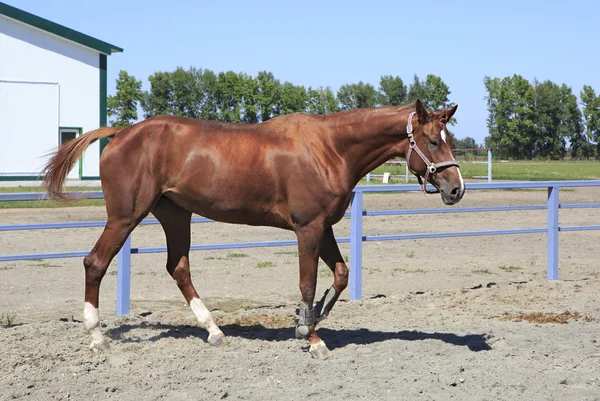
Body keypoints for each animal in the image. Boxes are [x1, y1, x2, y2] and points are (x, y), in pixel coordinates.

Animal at [42, 98, 464, 358]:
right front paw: (311, 337)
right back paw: (97, 337)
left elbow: (341, 276)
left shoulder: (324, 226)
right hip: (125, 217)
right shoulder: (307, 228)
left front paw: (310, 320)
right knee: (95, 263)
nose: (456, 188)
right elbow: (307, 283)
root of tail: (120, 133)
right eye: (431, 140)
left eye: (450, 139)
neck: (329, 148)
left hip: (175, 215)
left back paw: (214, 331)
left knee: (178, 268)